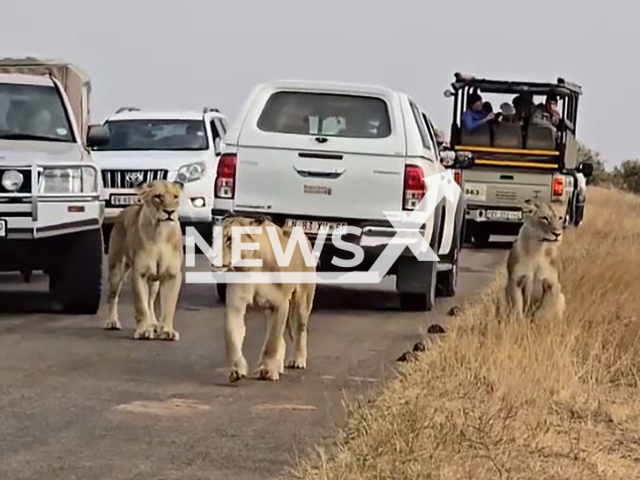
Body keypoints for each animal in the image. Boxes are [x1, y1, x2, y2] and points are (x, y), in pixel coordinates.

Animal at [105, 180, 184, 342]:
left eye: (175, 197)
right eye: (158, 197)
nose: (170, 212)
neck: (161, 233)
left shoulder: (172, 275)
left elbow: (169, 306)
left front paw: (167, 331)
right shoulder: (139, 274)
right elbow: (141, 305)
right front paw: (143, 331)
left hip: (155, 282)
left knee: (150, 301)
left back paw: (153, 323)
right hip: (116, 270)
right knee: (113, 297)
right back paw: (112, 321)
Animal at [214, 217, 316, 382]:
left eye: (230, 239)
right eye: (215, 238)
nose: (212, 256)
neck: (249, 266)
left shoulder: (280, 304)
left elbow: (272, 342)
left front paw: (268, 370)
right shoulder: (235, 305)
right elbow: (231, 337)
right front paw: (237, 370)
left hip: (303, 299)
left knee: (300, 330)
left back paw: (298, 360)